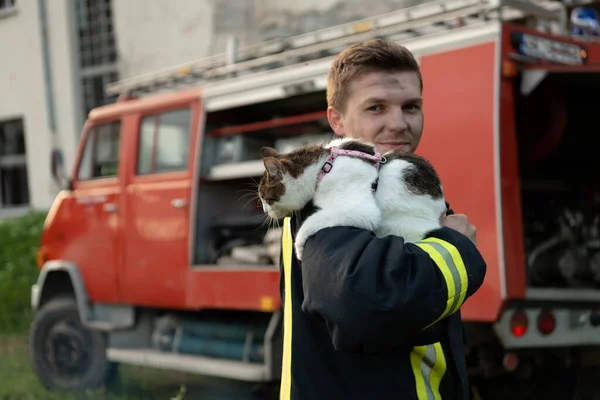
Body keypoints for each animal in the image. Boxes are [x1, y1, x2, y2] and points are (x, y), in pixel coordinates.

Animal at [256, 136, 446, 260]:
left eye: (267, 199)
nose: (265, 210)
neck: (324, 166)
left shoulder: (359, 208)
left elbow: (314, 220)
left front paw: (299, 245)